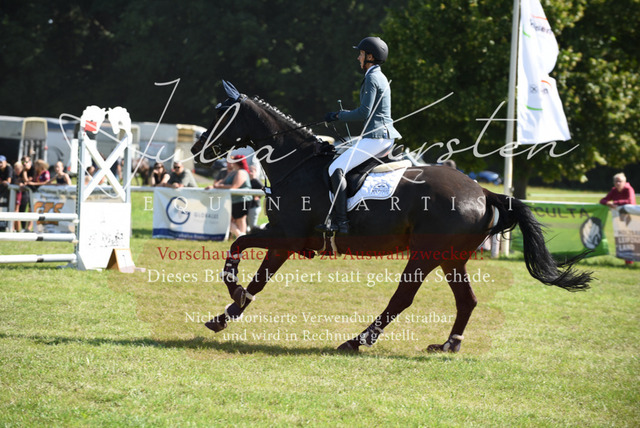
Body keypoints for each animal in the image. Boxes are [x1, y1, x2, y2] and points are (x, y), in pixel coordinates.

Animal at [190, 81, 592, 353]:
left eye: (222, 115)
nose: (196, 149)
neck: (297, 164)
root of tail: (482, 192)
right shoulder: (284, 239)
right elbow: (252, 269)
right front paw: (224, 315)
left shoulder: (286, 235)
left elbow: (241, 253)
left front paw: (234, 296)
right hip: (451, 259)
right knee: (467, 300)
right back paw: (449, 344)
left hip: (425, 255)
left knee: (403, 297)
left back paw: (357, 340)